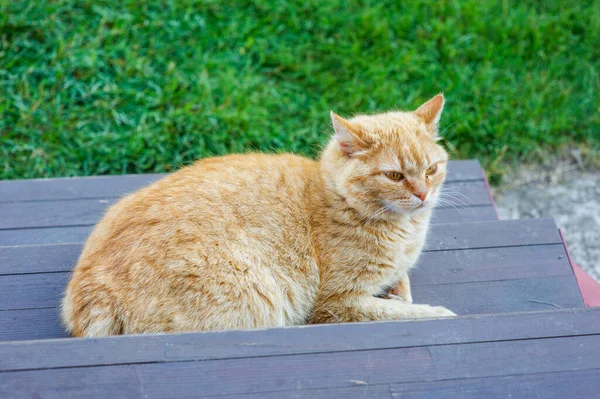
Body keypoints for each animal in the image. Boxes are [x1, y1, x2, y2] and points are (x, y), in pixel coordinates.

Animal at [61, 94, 454, 338]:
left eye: (432, 169)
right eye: (394, 175)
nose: (423, 194)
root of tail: (91, 292)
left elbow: (403, 286)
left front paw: (398, 289)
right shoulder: (336, 304)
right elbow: (406, 311)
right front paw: (435, 311)